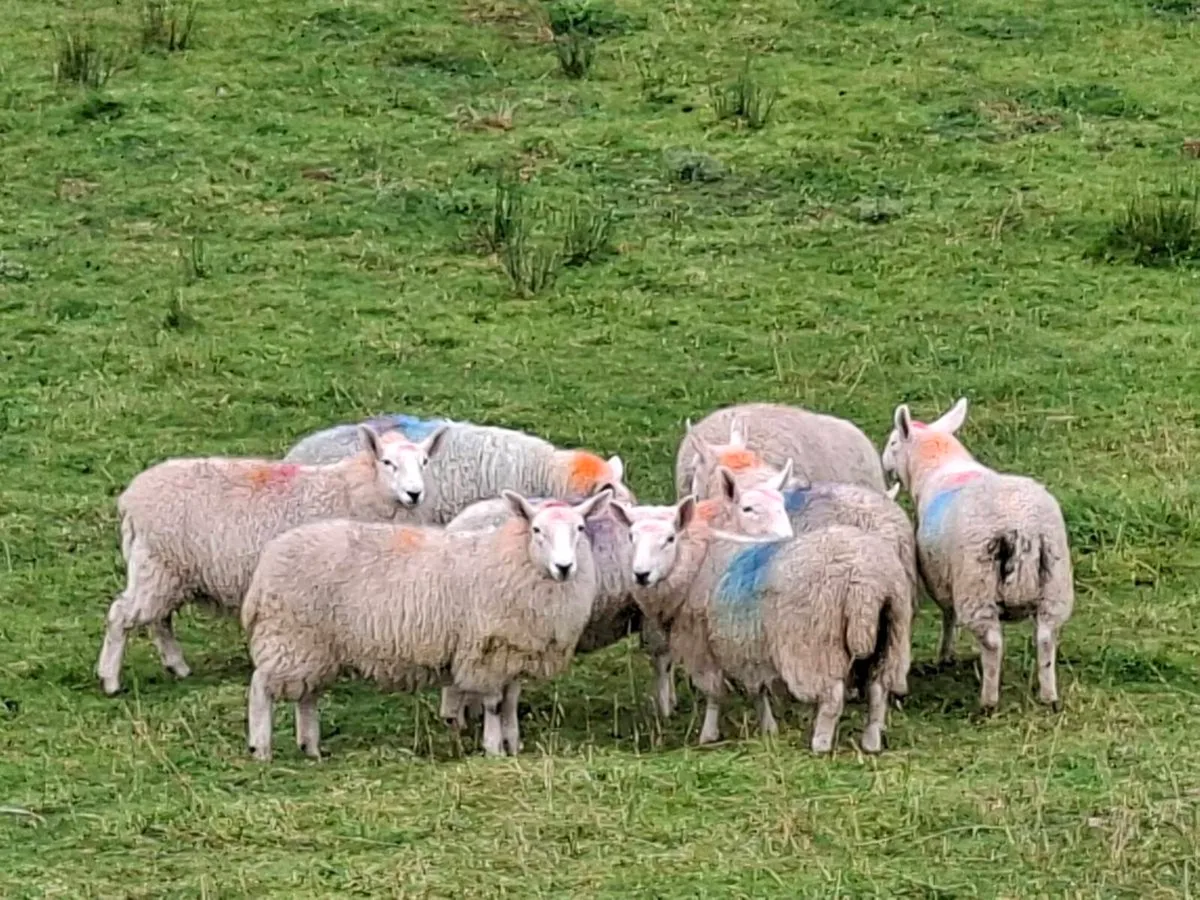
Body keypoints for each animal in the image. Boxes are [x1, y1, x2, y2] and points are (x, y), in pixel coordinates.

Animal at [95, 424, 447, 696]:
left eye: (425, 461)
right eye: (387, 462)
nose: (414, 493)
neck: (354, 490)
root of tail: (131, 499)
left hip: (167, 570)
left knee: (158, 619)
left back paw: (177, 666)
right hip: (157, 565)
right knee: (121, 615)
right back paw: (110, 680)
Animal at [240, 489, 613, 761]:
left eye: (580, 529)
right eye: (537, 531)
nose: (564, 567)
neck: (515, 559)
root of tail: (268, 561)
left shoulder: (515, 651)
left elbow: (510, 703)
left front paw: (513, 744)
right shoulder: (488, 652)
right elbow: (494, 704)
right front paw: (494, 749)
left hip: (314, 645)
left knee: (307, 695)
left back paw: (311, 747)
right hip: (290, 635)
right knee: (261, 687)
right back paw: (261, 748)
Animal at [439, 463, 798, 726]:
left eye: (783, 505)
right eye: (749, 508)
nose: (786, 539)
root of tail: (454, 527)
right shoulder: (652, 612)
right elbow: (662, 659)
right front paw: (665, 709)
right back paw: (458, 719)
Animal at [617, 496, 912, 753]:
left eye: (669, 538)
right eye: (630, 537)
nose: (641, 575)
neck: (696, 562)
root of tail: (866, 581)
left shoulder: (700, 644)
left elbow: (713, 692)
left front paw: (708, 735)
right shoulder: (746, 644)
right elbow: (756, 689)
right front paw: (768, 728)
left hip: (815, 644)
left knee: (832, 697)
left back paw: (820, 744)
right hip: (891, 635)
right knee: (877, 690)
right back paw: (872, 741)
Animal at [880, 397, 1074, 712]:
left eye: (894, 441)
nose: (885, 464)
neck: (939, 463)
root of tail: (1021, 527)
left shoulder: (938, 576)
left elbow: (948, 614)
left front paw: (945, 654)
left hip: (977, 583)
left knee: (993, 642)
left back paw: (988, 700)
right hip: (1055, 582)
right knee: (1046, 637)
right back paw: (1048, 696)